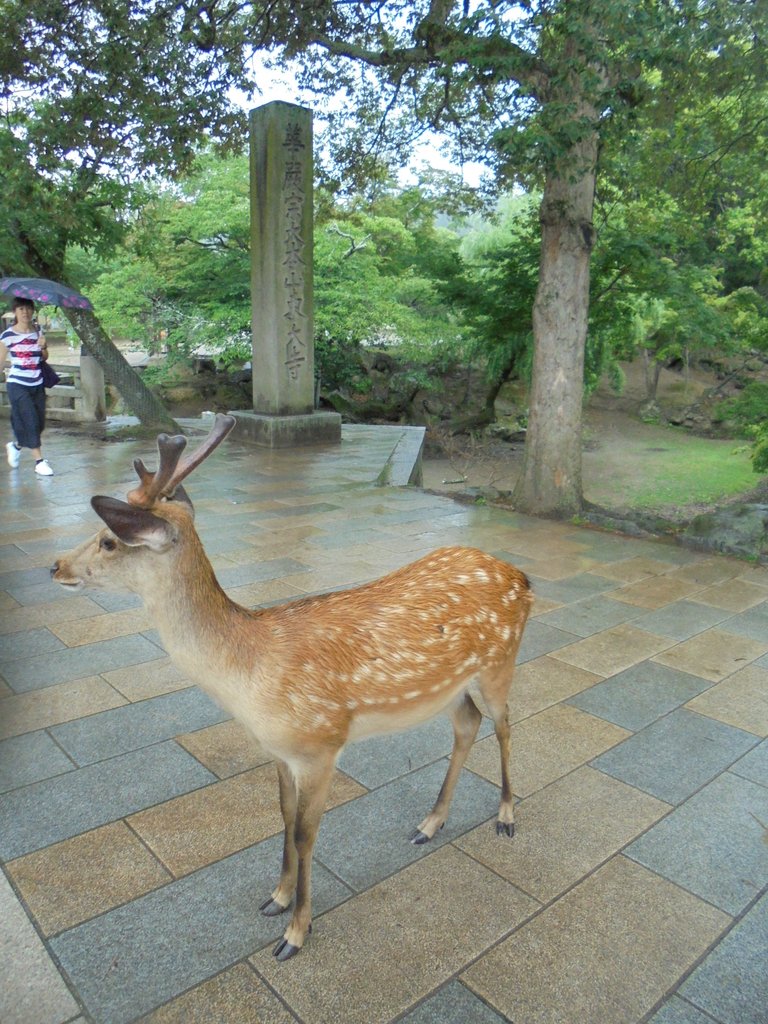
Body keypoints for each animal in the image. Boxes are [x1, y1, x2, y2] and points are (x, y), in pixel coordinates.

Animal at [51, 413, 536, 958]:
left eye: (108, 540)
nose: (55, 565)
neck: (250, 676)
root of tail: (522, 577)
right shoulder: (280, 751)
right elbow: (282, 817)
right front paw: (277, 898)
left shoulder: (321, 745)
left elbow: (306, 834)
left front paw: (296, 932)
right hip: (450, 688)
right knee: (467, 723)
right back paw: (429, 824)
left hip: (501, 661)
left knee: (505, 724)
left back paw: (506, 816)